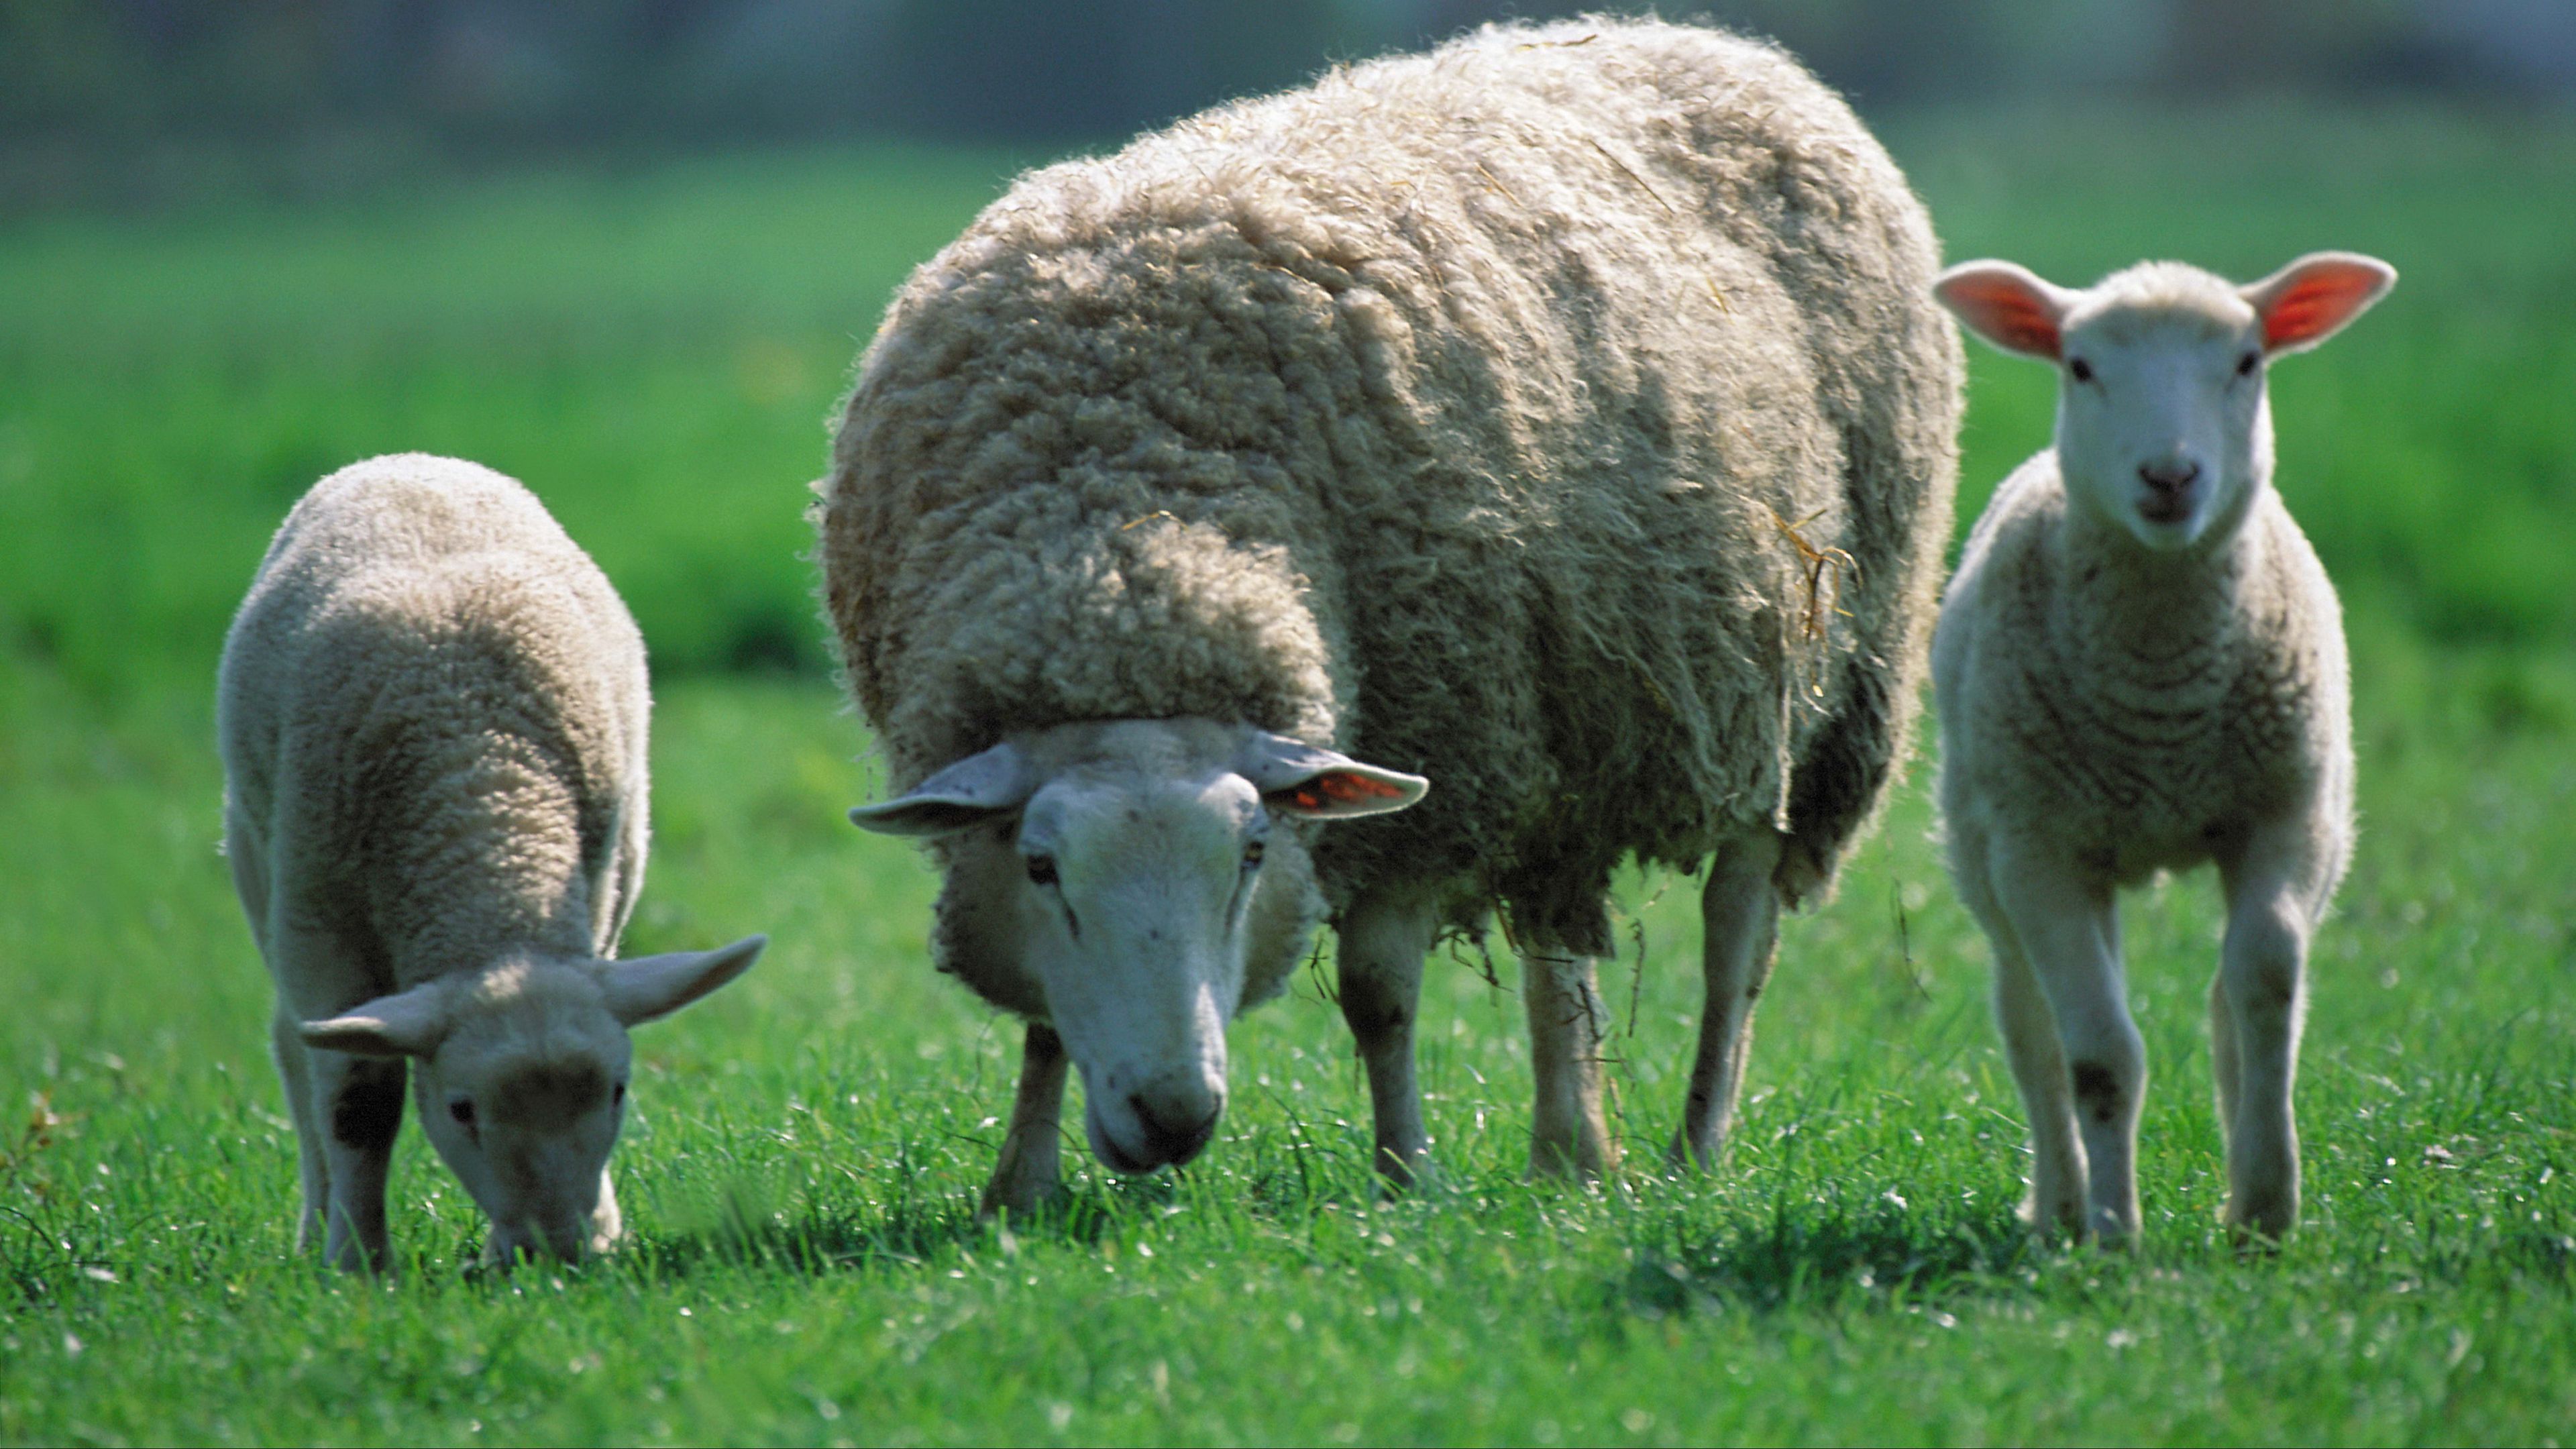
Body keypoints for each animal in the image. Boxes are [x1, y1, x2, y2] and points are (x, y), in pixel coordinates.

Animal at [219, 453, 766, 1271]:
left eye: (618, 1092)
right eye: (461, 1110)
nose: (555, 1254)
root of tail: (407, 460)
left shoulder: (599, 891)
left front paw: (599, 1228)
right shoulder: (318, 915)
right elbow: (357, 1098)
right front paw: (358, 1261)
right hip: (256, 857)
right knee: (295, 1046)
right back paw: (317, 1224)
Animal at [818, 18, 1963, 1212]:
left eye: (1252, 856)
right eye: (1043, 868)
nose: (1175, 1119)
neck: (1122, 548)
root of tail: (1719, 42)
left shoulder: (1434, 751)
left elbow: (1379, 996)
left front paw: (1405, 1177)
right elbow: (1046, 1015)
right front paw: (1023, 1188)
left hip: (1808, 693)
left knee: (1738, 936)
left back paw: (1693, 1144)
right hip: (1563, 710)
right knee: (1559, 928)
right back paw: (1571, 1151)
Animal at [1930, 252, 2395, 1244]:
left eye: (2248, 362)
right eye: (2080, 367)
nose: (2170, 475)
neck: (2161, 708)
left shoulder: (2289, 815)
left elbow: (2264, 989)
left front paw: (2265, 1205)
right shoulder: (2039, 851)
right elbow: (2101, 1052)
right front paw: (2113, 1233)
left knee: (2221, 1003)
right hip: (1991, 850)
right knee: (2031, 1023)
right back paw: (2061, 1207)